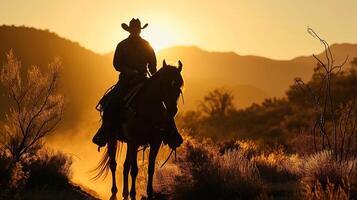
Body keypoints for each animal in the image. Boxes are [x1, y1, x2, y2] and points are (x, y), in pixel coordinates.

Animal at [94, 60, 184, 199]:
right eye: (164, 83)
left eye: (179, 86)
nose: (172, 110)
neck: (148, 108)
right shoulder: (135, 141)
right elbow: (135, 170)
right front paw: (133, 194)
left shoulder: (155, 143)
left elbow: (150, 169)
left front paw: (150, 193)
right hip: (113, 138)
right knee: (113, 164)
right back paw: (114, 192)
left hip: (129, 144)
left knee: (125, 166)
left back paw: (125, 193)